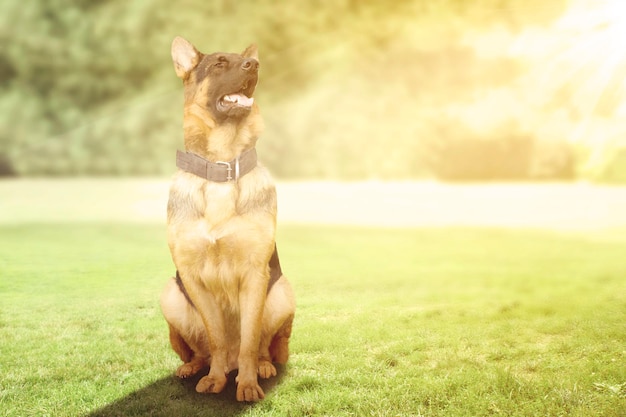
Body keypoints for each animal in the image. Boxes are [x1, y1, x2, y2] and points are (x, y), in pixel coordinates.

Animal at [158, 37, 294, 402]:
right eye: (219, 63)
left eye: (245, 60)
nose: (255, 66)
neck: (221, 165)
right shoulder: (192, 277)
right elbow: (216, 338)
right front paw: (215, 379)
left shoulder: (255, 275)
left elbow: (249, 340)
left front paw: (247, 384)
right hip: (170, 293)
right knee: (202, 350)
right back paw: (195, 368)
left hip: (282, 290)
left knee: (261, 345)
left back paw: (262, 366)